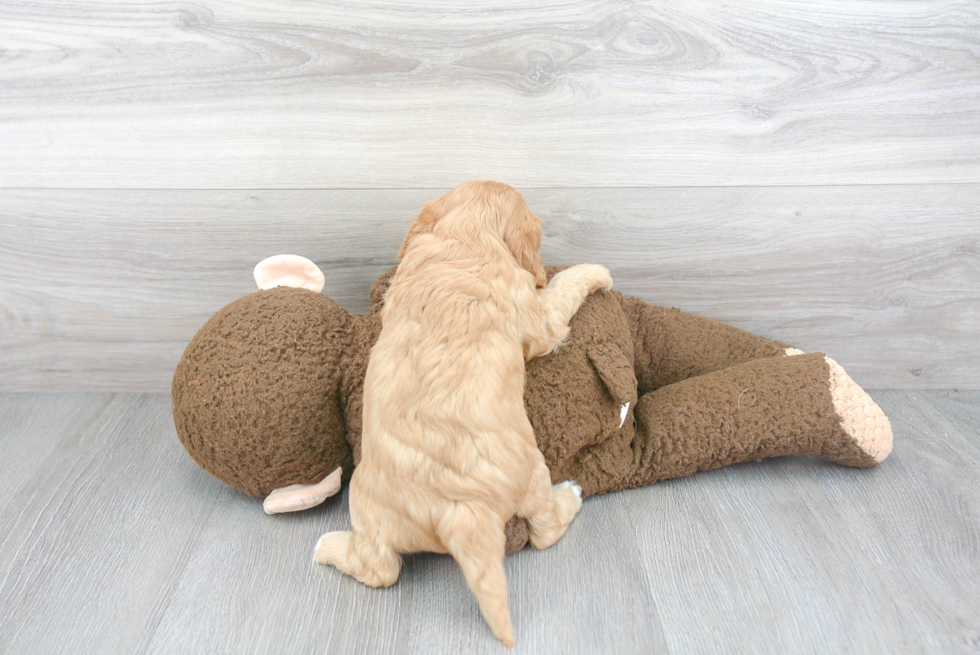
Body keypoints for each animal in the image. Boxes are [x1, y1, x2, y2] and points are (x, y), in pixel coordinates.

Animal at [316, 179, 612, 644]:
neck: (467, 238)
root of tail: (459, 510)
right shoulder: (539, 316)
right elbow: (562, 288)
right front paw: (597, 272)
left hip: (365, 505)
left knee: (382, 567)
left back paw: (328, 547)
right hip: (534, 473)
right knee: (543, 530)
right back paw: (570, 495)